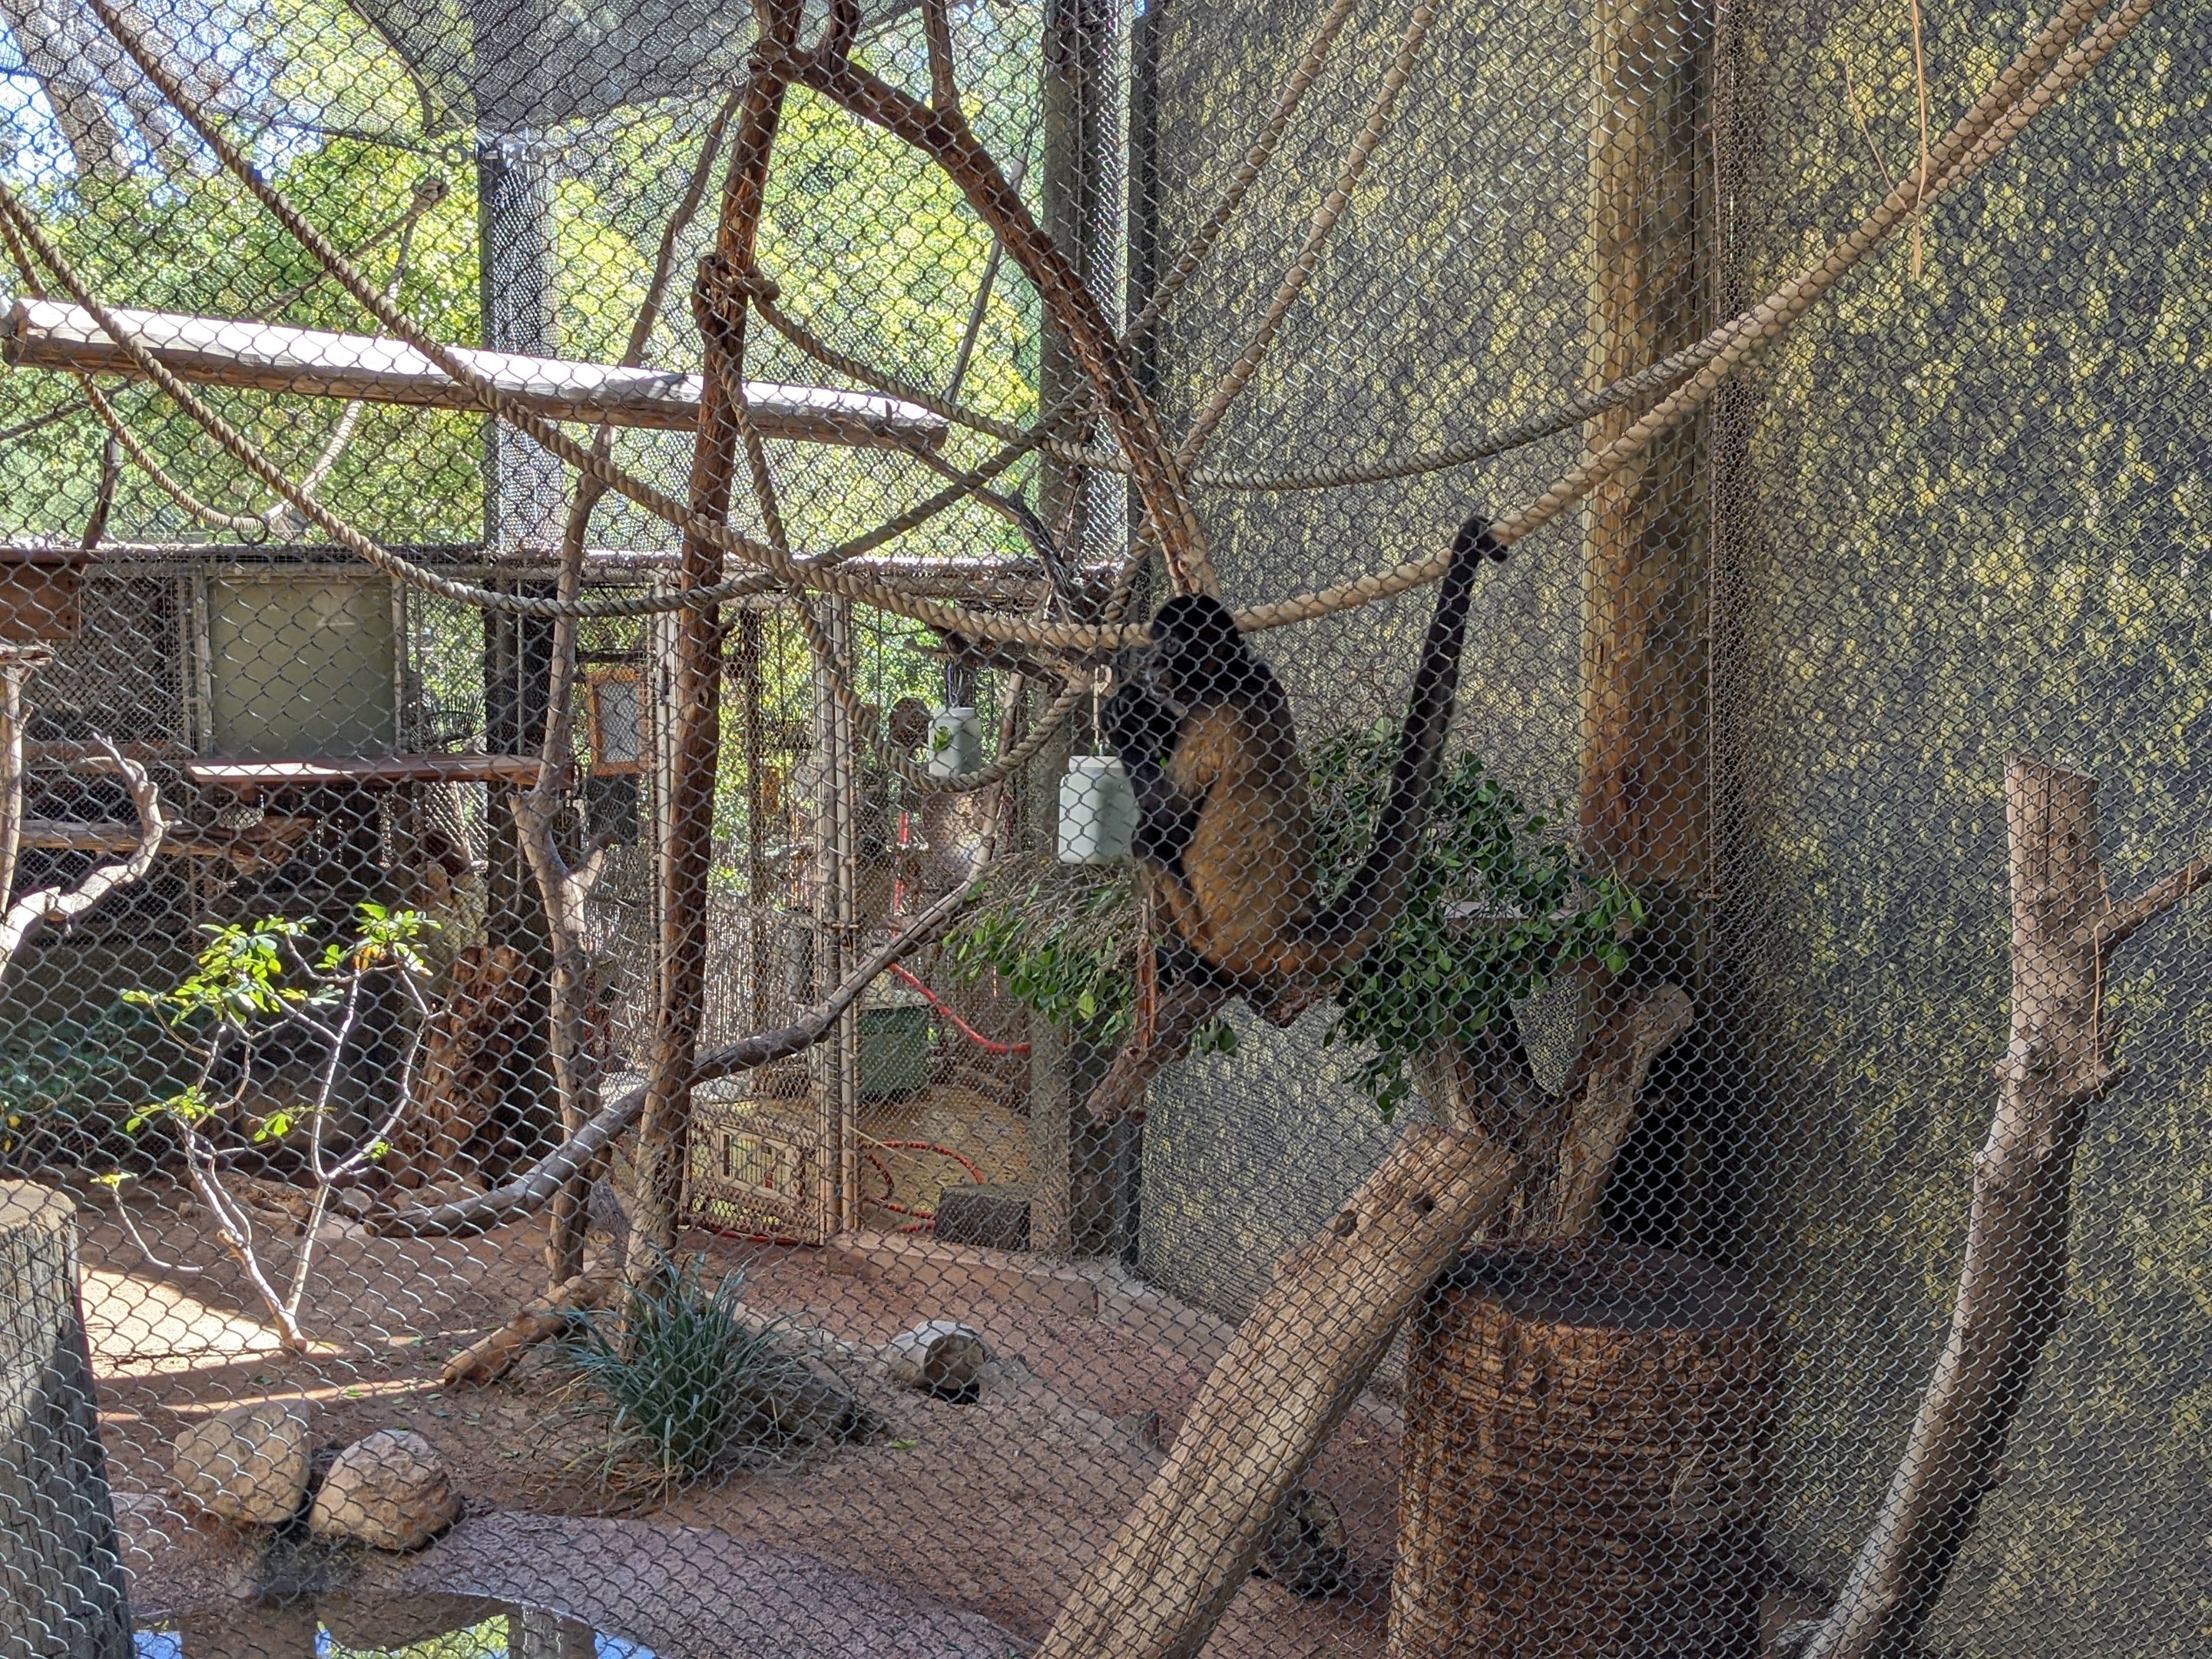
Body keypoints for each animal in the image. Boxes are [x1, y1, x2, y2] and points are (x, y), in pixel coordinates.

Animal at [1087, 512, 1504, 1119]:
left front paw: (1128, 719)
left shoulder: (1213, 715)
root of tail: (1295, 930)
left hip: (1213, 936)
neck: (1235, 674)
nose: (1156, 669)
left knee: (1148, 842)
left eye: (1171, 651)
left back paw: (1192, 967)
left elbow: (1168, 825)